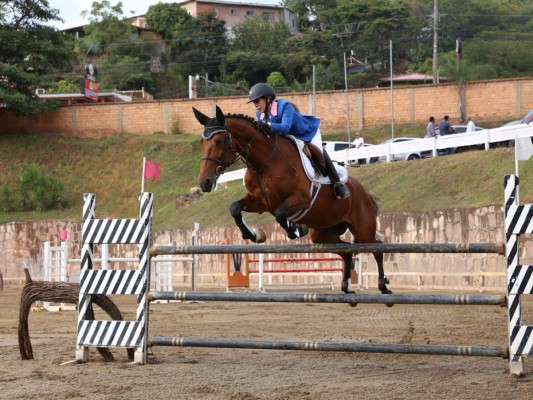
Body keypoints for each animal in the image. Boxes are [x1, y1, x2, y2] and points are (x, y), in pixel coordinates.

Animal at [191, 106, 390, 300]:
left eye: (219, 141)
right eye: (202, 142)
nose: (205, 182)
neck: (264, 162)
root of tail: (364, 192)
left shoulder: (301, 200)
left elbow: (281, 215)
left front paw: (296, 229)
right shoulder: (260, 202)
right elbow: (235, 208)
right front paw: (254, 234)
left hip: (363, 230)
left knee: (377, 248)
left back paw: (383, 286)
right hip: (323, 234)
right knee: (347, 250)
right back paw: (347, 287)